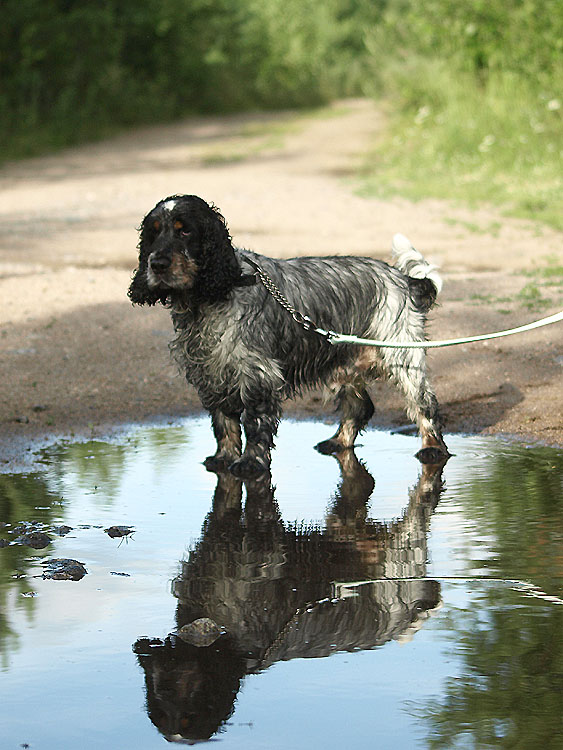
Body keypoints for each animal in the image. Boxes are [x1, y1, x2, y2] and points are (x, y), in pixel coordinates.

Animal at [129, 194, 450, 476]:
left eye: (185, 231)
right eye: (153, 233)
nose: (156, 264)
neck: (212, 297)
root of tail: (402, 279)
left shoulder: (258, 374)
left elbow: (254, 423)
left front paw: (250, 463)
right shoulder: (211, 373)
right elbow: (224, 424)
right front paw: (224, 458)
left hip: (402, 356)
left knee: (425, 405)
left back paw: (433, 449)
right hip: (346, 362)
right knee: (360, 406)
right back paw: (337, 442)